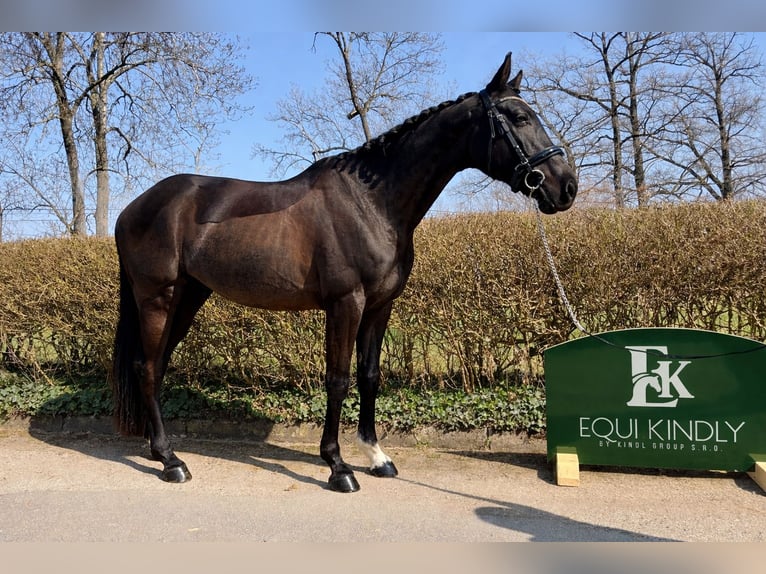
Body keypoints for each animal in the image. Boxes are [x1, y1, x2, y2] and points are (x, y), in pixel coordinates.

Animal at [112, 53, 578, 493]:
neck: (372, 203)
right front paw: (338, 467)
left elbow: (369, 376)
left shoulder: (379, 307)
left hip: (188, 297)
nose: (566, 187)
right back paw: (171, 462)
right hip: (158, 298)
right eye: (519, 117)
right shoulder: (345, 303)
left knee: (155, 364)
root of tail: (132, 209)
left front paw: (377, 457)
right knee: (147, 367)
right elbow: (337, 379)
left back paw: (158, 450)